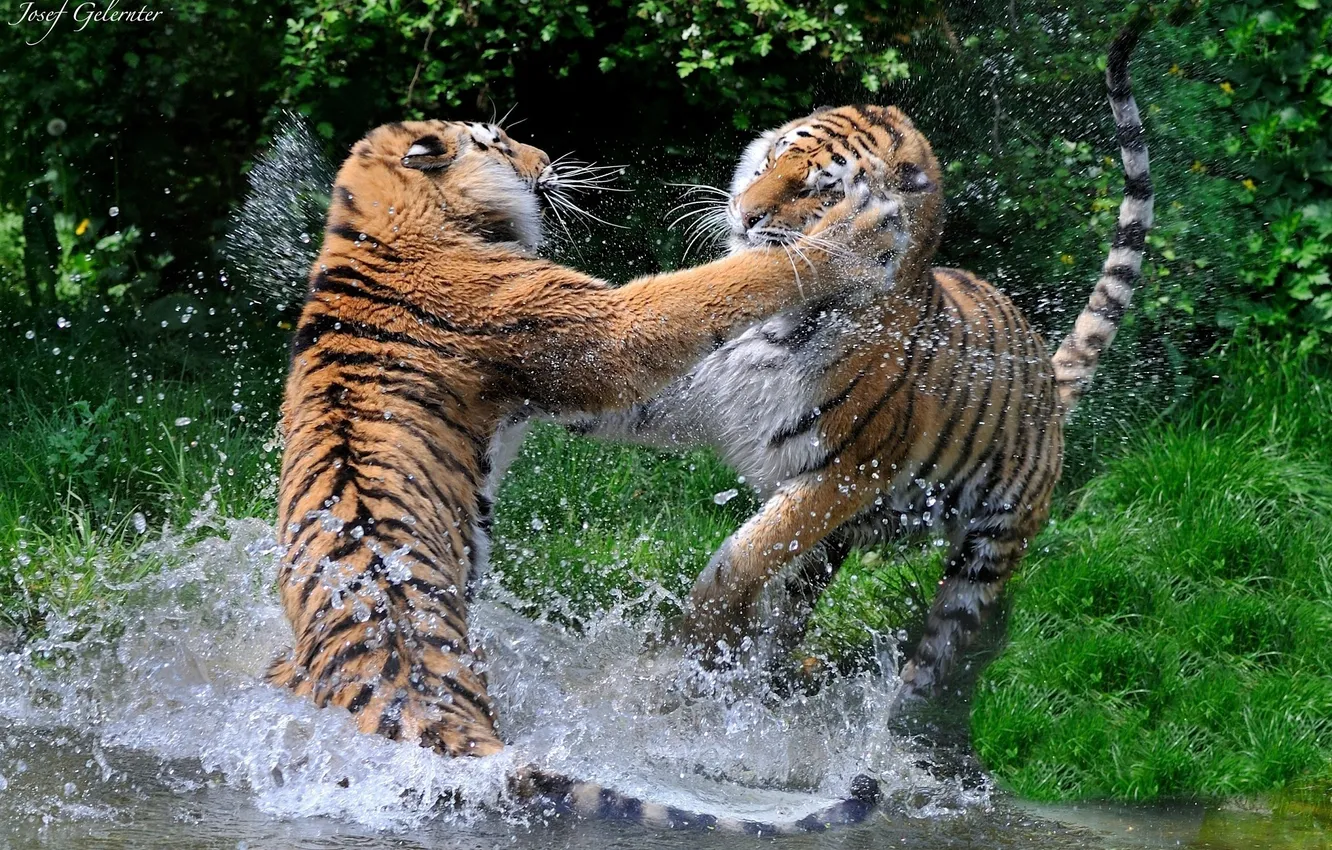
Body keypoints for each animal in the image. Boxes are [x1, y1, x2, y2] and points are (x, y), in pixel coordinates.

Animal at [265, 117, 899, 828]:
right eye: (497, 142)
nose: (545, 157)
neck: (370, 222)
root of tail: (417, 709)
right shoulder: (599, 329)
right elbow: (721, 283)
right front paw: (855, 232)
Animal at [568, 19, 1154, 699]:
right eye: (771, 160)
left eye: (818, 189)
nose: (744, 213)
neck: (779, 323)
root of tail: (1048, 388)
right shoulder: (690, 394)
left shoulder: (845, 473)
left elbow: (748, 552)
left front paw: (699, 631)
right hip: (838, 551)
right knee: (795, 612)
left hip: (988, 550)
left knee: (942, 645)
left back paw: (900, 710)